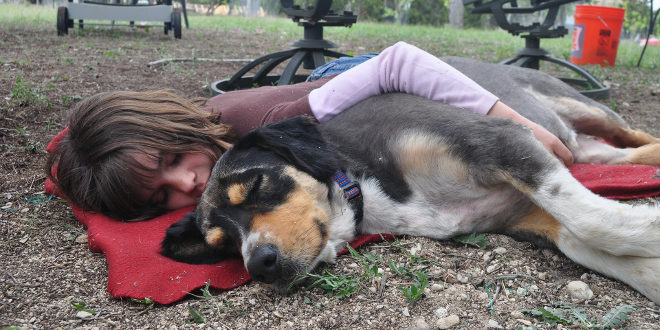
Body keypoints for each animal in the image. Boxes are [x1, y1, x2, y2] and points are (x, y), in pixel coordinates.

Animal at [160, 56, 660, 304]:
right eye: (225, 244)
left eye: (257, 186)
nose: (259, 265)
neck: (362, 185)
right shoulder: (526, 213)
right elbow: (591, 242)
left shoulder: (502, 141)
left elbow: (595, 222)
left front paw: (650, 226)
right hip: (586, 148)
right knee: (626, 153)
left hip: (584, 108)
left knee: (636, 135)